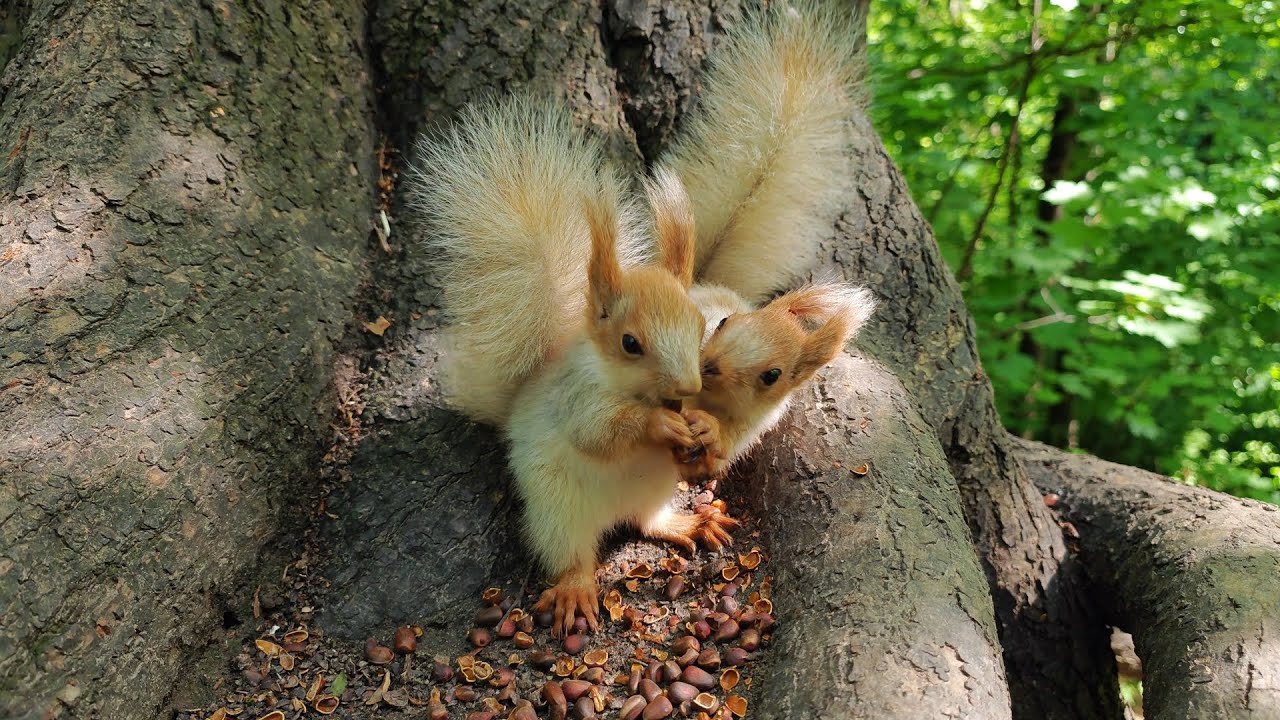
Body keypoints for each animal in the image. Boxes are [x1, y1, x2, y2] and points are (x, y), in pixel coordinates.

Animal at [410, 98, 734, 637]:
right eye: (630, 343)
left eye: (698, 325)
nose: (688, 385)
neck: (628, 386)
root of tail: (613, 511)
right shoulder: (575, 395)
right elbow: (596, 431)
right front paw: (659, 424)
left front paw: (703, 427)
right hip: (557, 515)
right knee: (573, 557)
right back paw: (576, 591)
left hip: (653, 490)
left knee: (648, 521)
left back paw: (690, 520)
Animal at [657, 0, 878, 488]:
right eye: (724, 323)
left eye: (772, 375)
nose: (710, 365)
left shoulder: (756, 422)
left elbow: (728, 440)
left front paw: (708, 432)